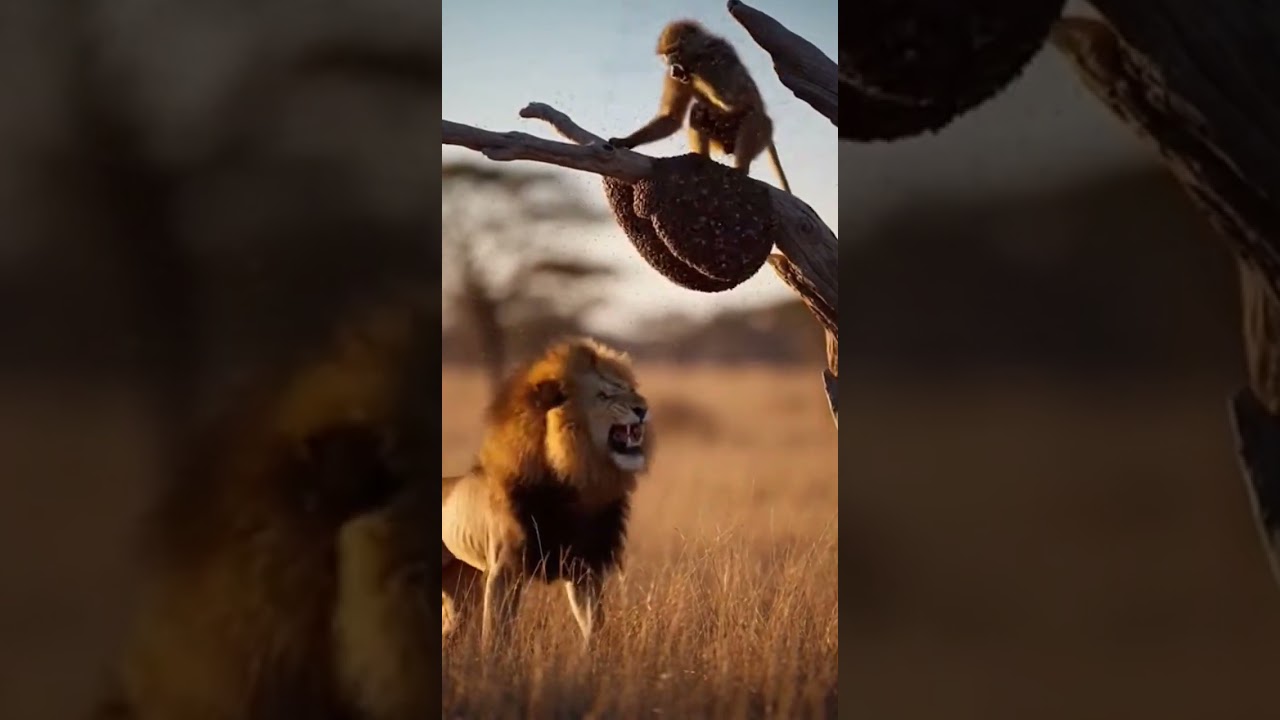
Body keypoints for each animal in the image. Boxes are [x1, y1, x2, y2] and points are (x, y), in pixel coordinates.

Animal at [442, 337, 654, 650]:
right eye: (603, 395)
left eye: (629, 389)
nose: (642, 408)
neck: (575, 479)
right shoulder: (505, 569)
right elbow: (496, 636)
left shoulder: (585, 567)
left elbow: (595, 626)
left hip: (462, 590)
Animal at [608, 20, 792, 194]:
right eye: (666, 54)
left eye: (674, 51)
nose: (673, 68)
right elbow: (672, 117)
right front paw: (626, 141)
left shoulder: (719, 55)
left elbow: (733, 100)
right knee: (699, 110)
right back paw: (702, 158)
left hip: (760, 135)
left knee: (754, 116)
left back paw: (740, 169)